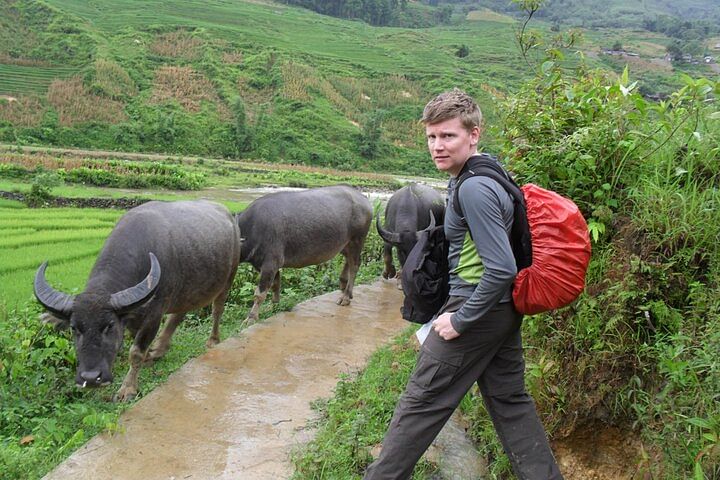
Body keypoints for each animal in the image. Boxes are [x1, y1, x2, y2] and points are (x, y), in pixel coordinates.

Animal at [33, 199, 240, 402]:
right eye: (74, 328)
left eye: (109, 326)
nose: (90, 378)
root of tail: (230, 217)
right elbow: (136, 342)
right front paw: (149, 357)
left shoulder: (154, 314)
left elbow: (136, 352)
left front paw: (128, 389)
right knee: (180, 313)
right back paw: (160, 348)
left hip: (229, 277)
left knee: (217, 309)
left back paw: (213, 340)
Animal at [236, 184, 372, 322]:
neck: (252, 229)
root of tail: (363, 198)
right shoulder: (262, 264)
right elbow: (275, 284)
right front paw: (274, 306)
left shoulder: (271, 262)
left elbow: (260, 293)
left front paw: (251, 317)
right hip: (344, 244)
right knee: (348, 260)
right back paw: (344, 286)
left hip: (357, 239)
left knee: (355, 265)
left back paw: (345, 297)